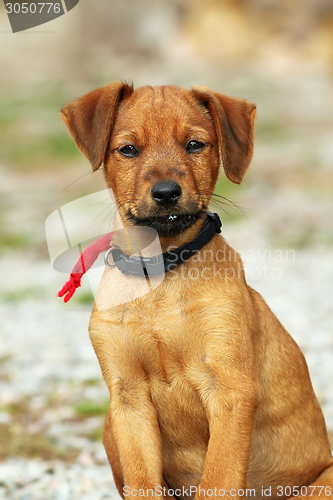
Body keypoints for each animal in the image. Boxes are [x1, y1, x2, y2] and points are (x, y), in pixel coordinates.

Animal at [61, 84, 330, 500]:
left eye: (194, 144)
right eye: (128, 149)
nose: (166, 193)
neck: (159, 273)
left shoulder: (230, 388)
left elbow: (218, 478)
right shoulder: (128, 396)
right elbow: (143, 483)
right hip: (108, 424)